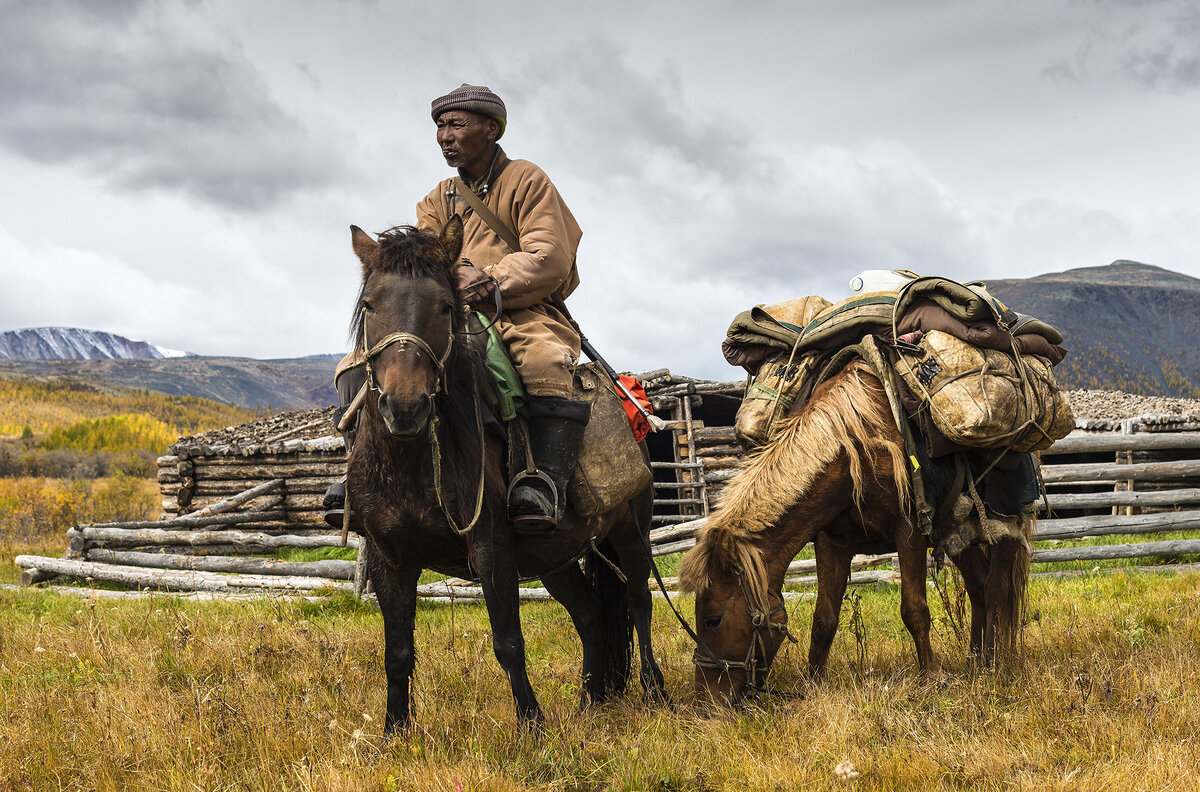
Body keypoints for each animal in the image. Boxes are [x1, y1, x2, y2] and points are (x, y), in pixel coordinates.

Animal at [345, 218, 667, 729]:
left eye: (445, 305)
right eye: (369, 305)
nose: (405, 407)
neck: (414, 464)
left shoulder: (492, 551)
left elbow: (509, 644)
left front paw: (532, 727)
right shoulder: (387, 558)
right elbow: (397, 653)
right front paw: (395, 732)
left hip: (630, 533)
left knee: (639, 600)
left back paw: (654, 693)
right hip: (554, 558)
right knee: (592, 617)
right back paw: (590, 703)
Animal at [676, 362, 1032, 700]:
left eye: (713, 620)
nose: (707, 701)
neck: (856, 449)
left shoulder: (909, 535)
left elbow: (915, 609)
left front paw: (933, 678)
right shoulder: (831, 543)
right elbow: (824, 618)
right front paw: (812, 683)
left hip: (1002, 529)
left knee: (998, 588)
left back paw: (997, 661)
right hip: (959, 536)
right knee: (979, 586)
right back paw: (978, 660)